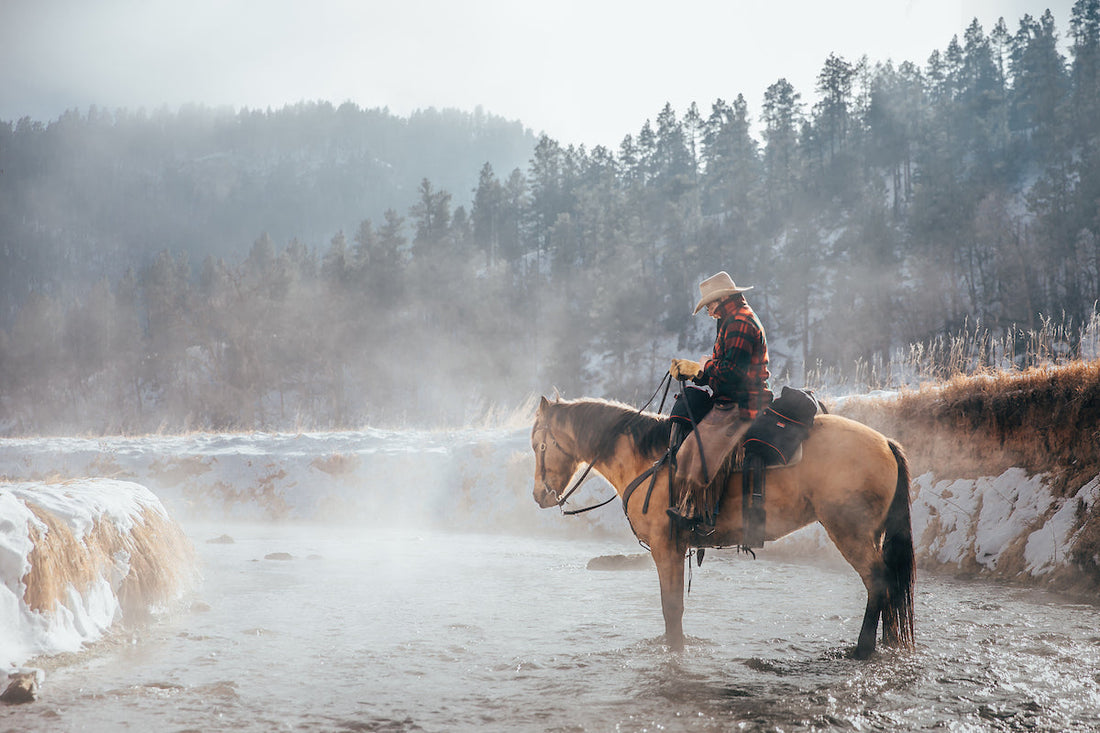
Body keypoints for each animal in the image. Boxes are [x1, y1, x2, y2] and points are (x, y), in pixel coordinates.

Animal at [530, 395, 915, 659]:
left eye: (538, 445)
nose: (539, 496)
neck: (648, 457)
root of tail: (886, 442)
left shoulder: (666, 548)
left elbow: (671, 609)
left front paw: (676, 649)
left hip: (849, 531)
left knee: (878, 582)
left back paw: (862, 649)